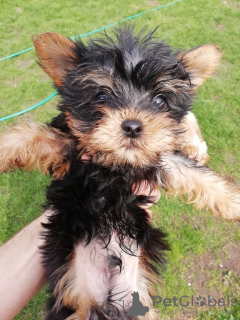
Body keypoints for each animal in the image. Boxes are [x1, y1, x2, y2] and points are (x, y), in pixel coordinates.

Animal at [0, 27, 240, 320]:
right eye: (101, 96)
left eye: (160, 100)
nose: (133, 126)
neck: (119, 164)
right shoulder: (70, 146)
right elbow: (32, 135)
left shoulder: (162, 160)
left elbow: (197, 174)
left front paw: (234, 202)